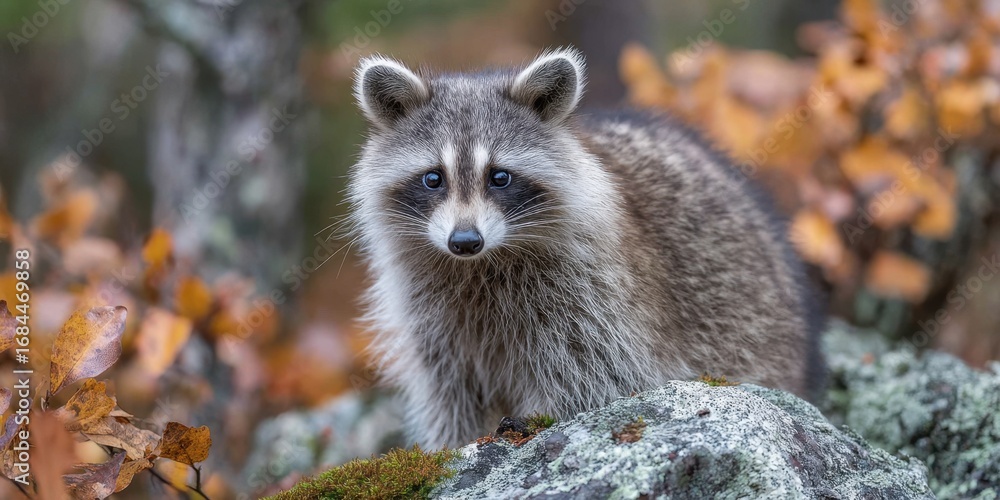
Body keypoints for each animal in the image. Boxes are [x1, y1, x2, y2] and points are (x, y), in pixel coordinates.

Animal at [348, 48, 824, 448]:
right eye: (433, 178)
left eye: (499, 177)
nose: (464, 241)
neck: (479, 265)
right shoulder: (430, 312)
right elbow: (448, 388)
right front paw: (454, 444)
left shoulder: (591, 293)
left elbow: (598, 377)